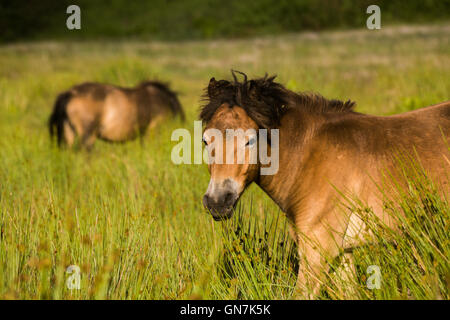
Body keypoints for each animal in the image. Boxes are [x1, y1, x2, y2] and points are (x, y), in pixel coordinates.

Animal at [200, 70, 450, 298]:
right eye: (205, 140)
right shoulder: (343, 253)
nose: (218, 202)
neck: (309, 156)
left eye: (250, 140)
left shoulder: (318, 250)